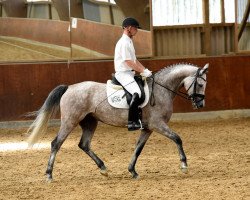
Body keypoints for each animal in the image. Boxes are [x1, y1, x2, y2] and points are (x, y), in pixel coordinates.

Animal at [26, 63, 209, 181]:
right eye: (200, 84)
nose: (200, 104)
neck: (160, 89)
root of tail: (69, 88)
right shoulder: (158, 125)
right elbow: (177, 138)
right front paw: (184, 165)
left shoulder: (148, 128)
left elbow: (138, 148)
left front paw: (132, 171)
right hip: (70, 121)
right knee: (56, 143)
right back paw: (49, 174)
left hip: (90, 122)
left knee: (84, 144)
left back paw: (103, 169)